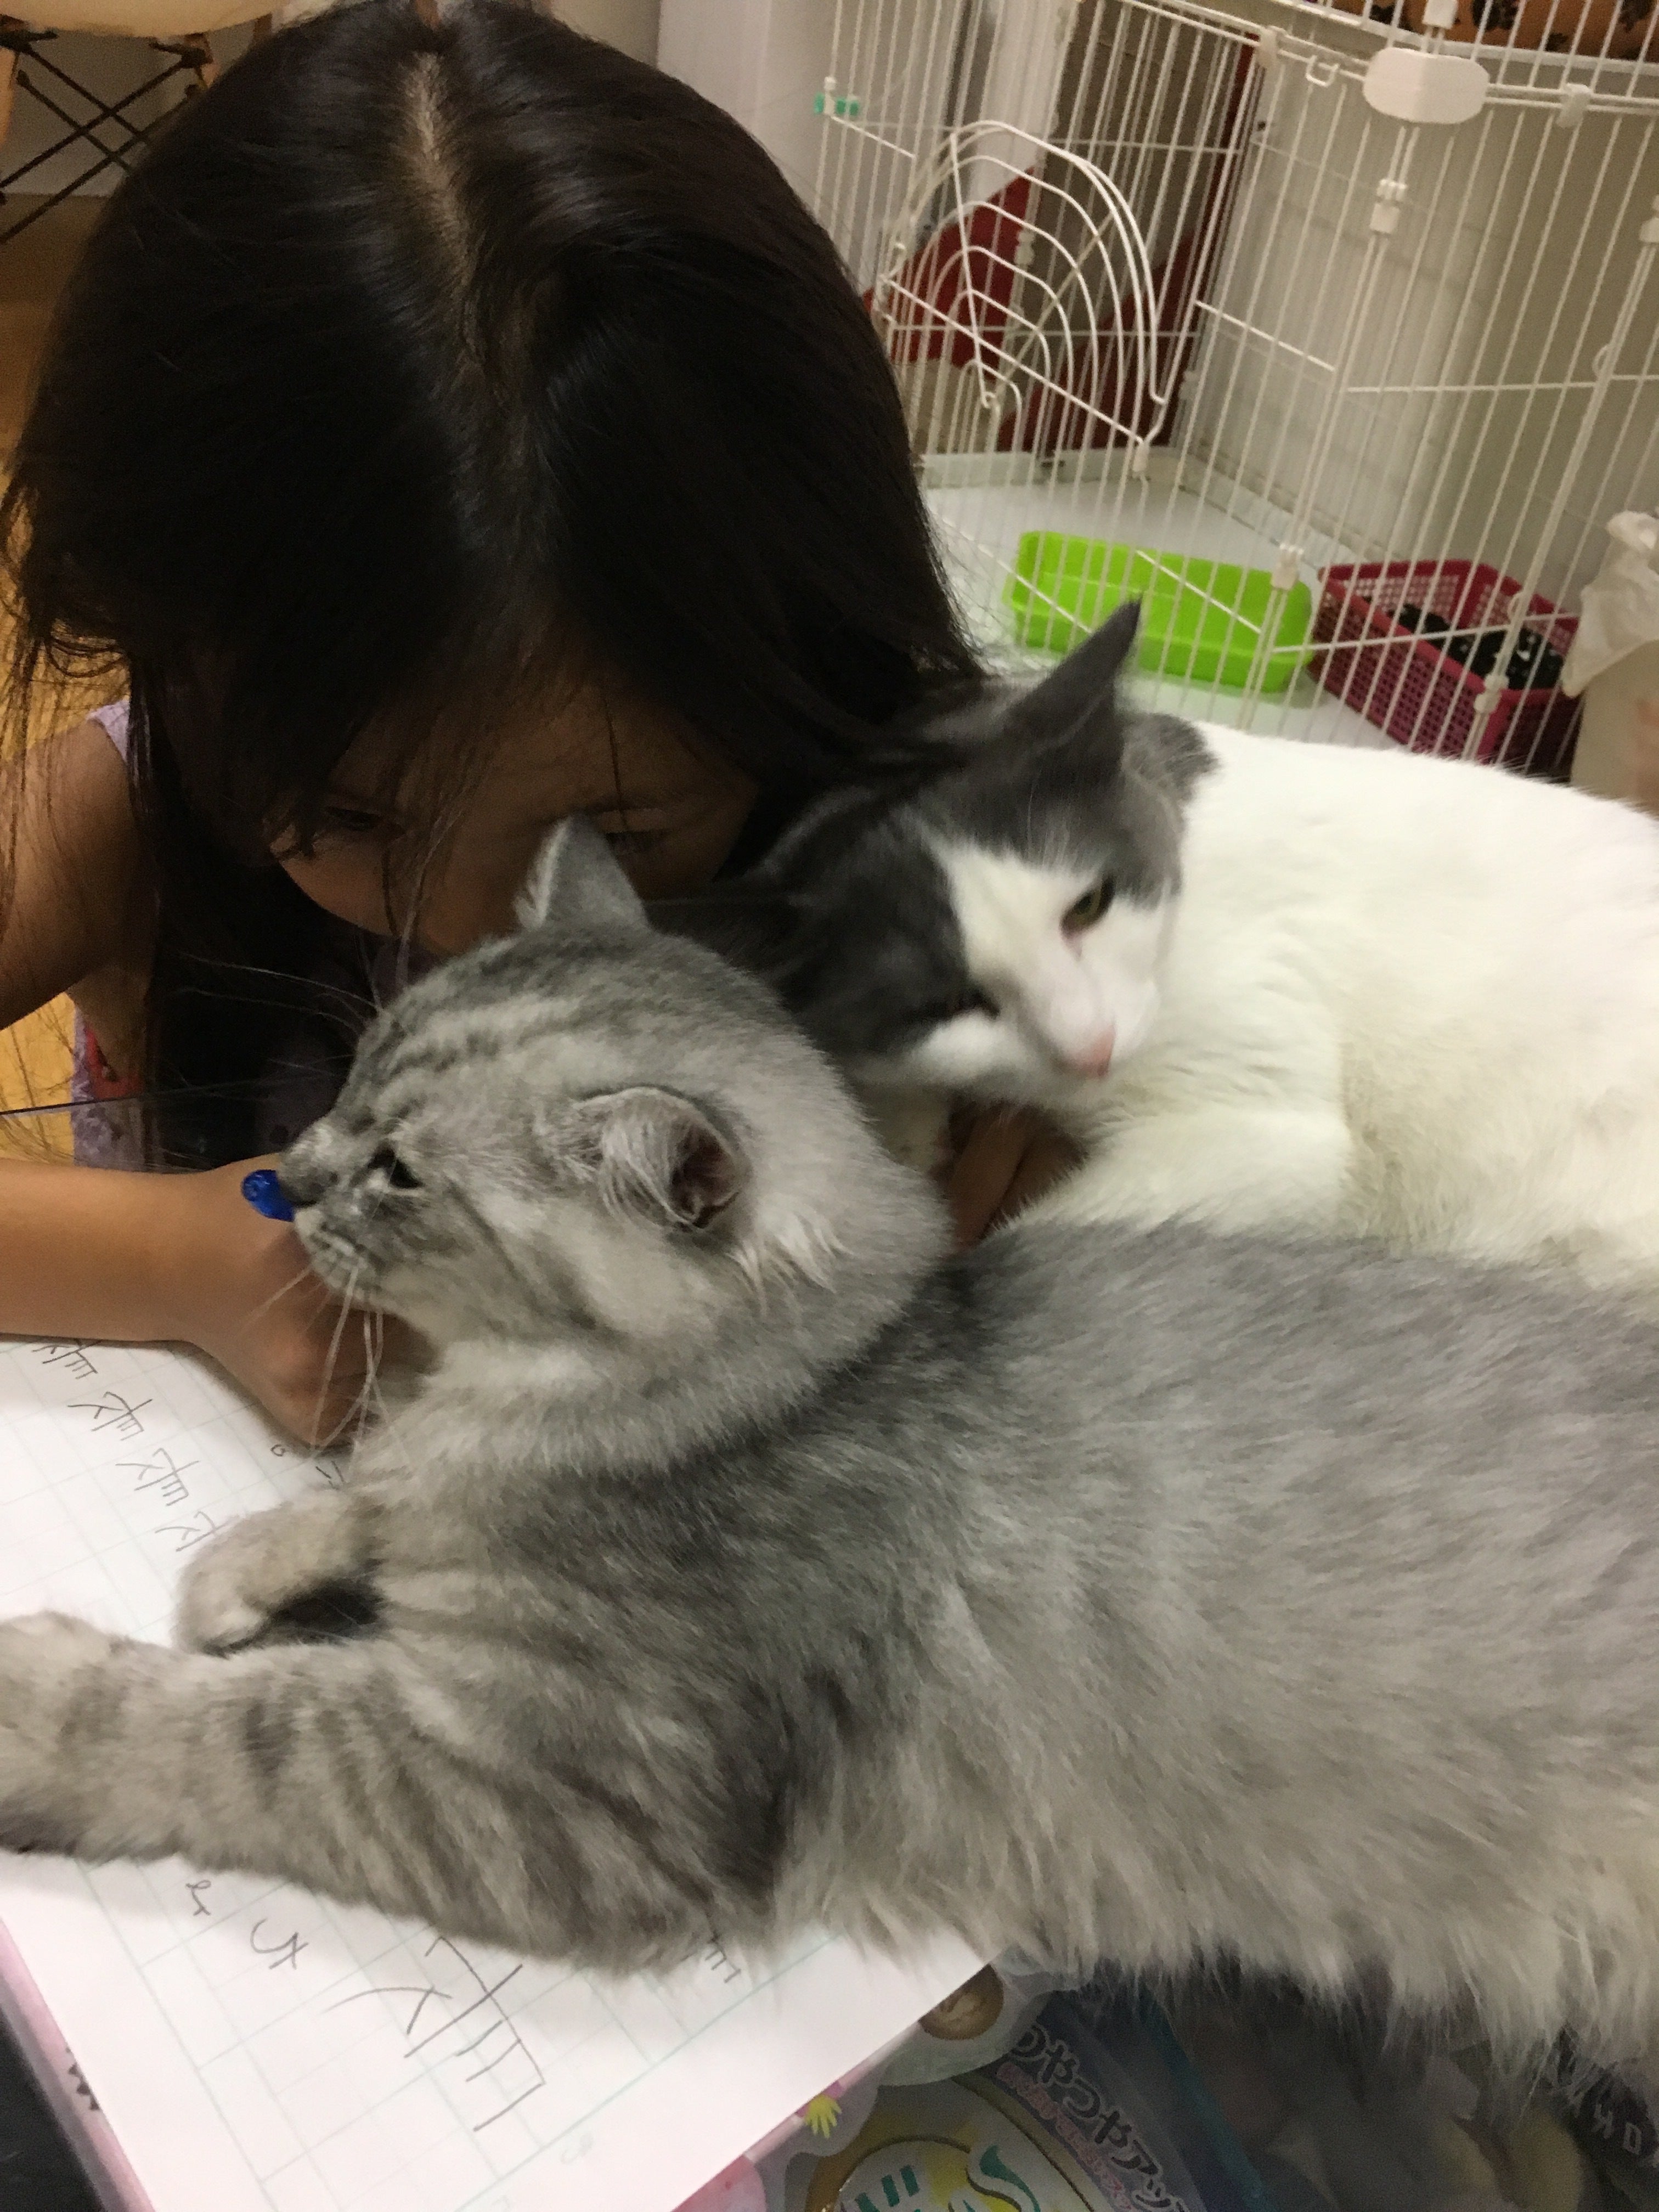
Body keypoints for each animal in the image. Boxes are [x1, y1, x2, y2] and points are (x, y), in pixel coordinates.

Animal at [1, 819, 1659, 2059]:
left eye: (402, 1172)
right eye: (351, 1077)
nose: (287, 1170)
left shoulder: (546, 1791)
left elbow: (243, 1733)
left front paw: (51, 1702)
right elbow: (370, 1496)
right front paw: (246, 1565)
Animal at [660, 602, 1659, 1291]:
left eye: (1089, 906)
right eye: (947, 1003)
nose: (1093, 1045)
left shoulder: (1268, 1130)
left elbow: (1057, 1238)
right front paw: (902, 1121)